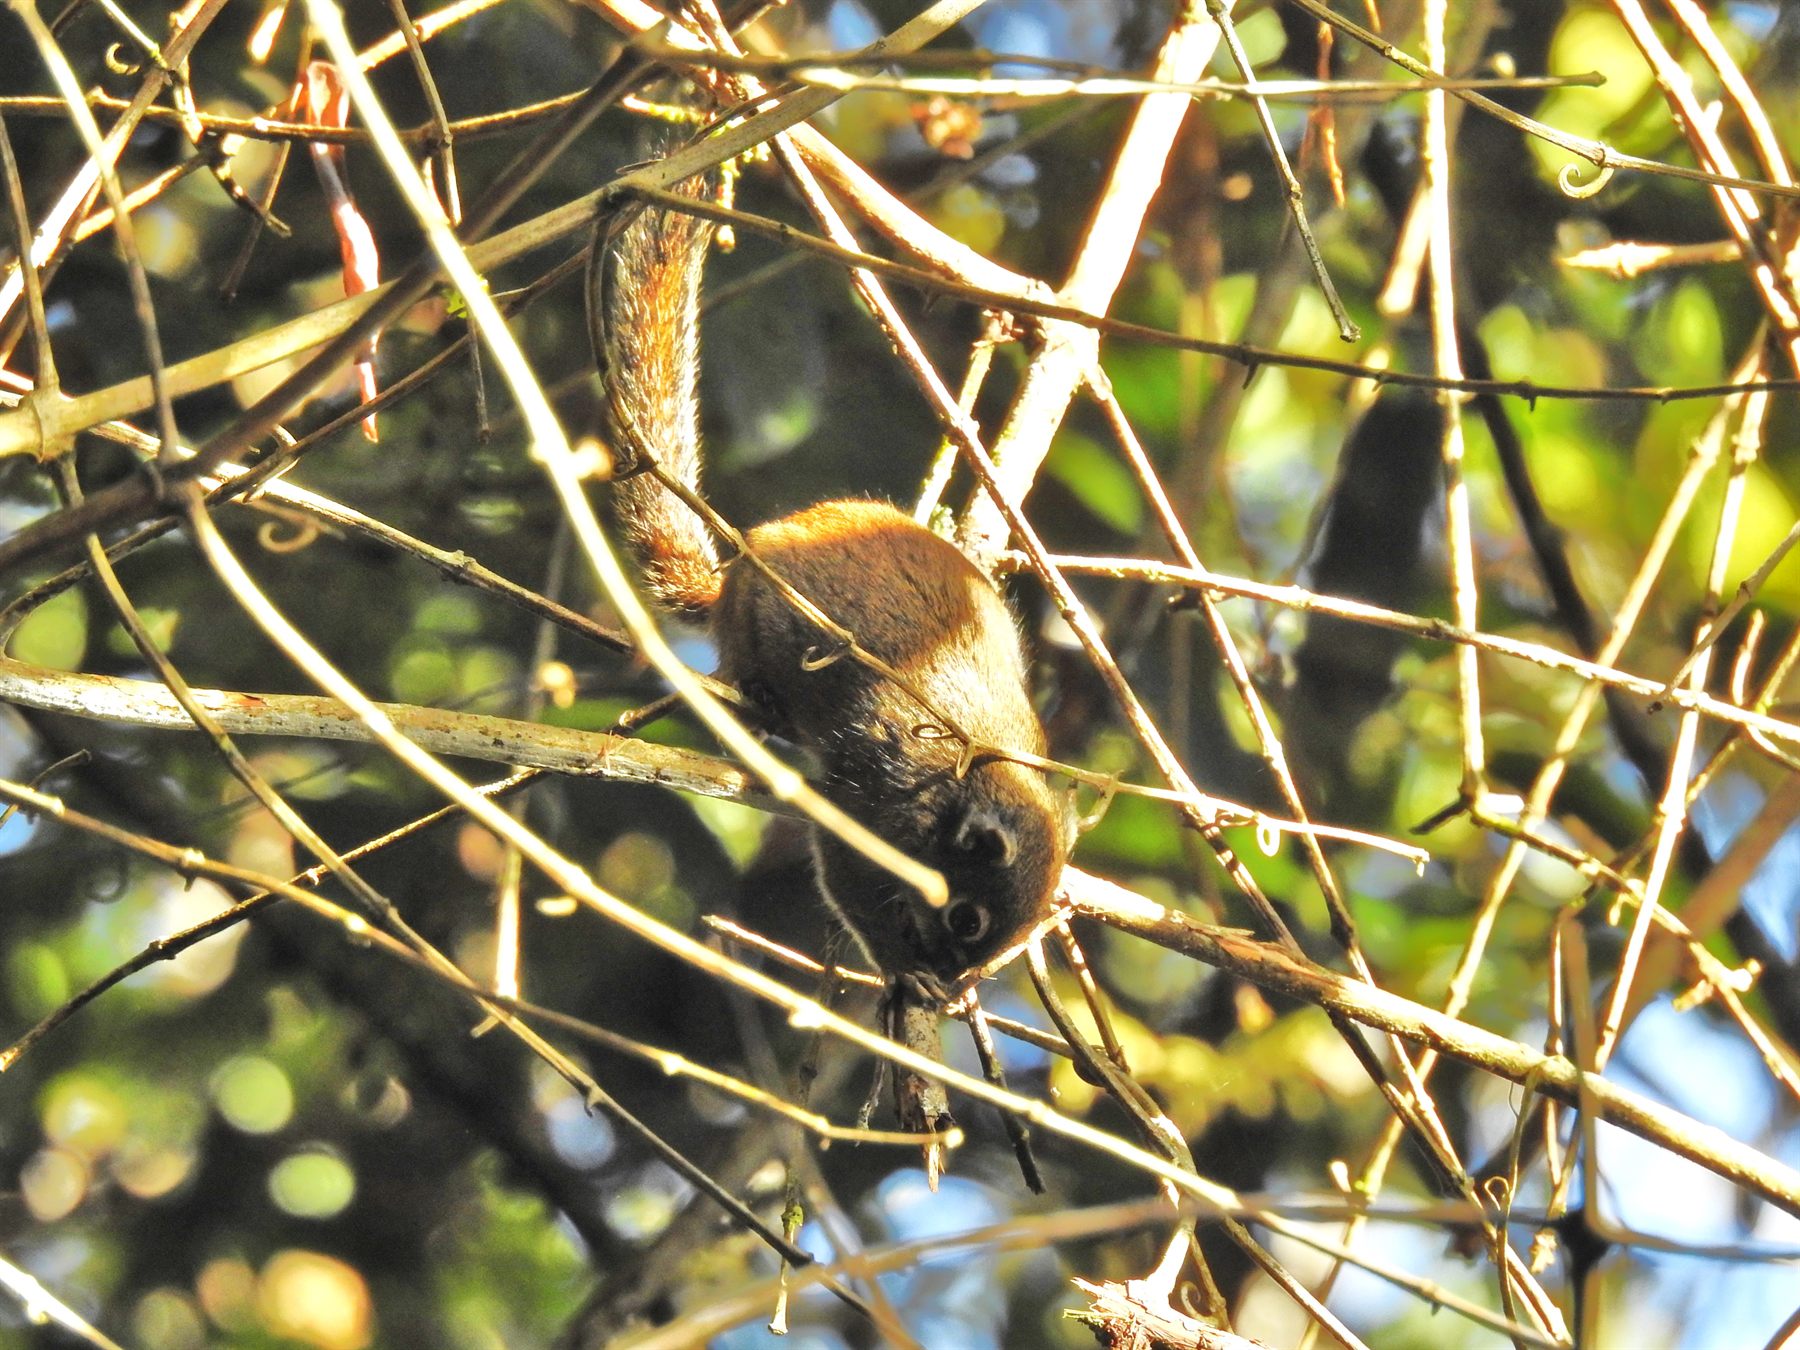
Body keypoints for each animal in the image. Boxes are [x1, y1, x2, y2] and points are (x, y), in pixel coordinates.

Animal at [589, 178, 1071, 1000]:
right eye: (966, 920)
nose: (956, 978)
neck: (969, 778)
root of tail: (738, 570)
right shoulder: (875, 798)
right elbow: (844, 870)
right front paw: (904, 968)